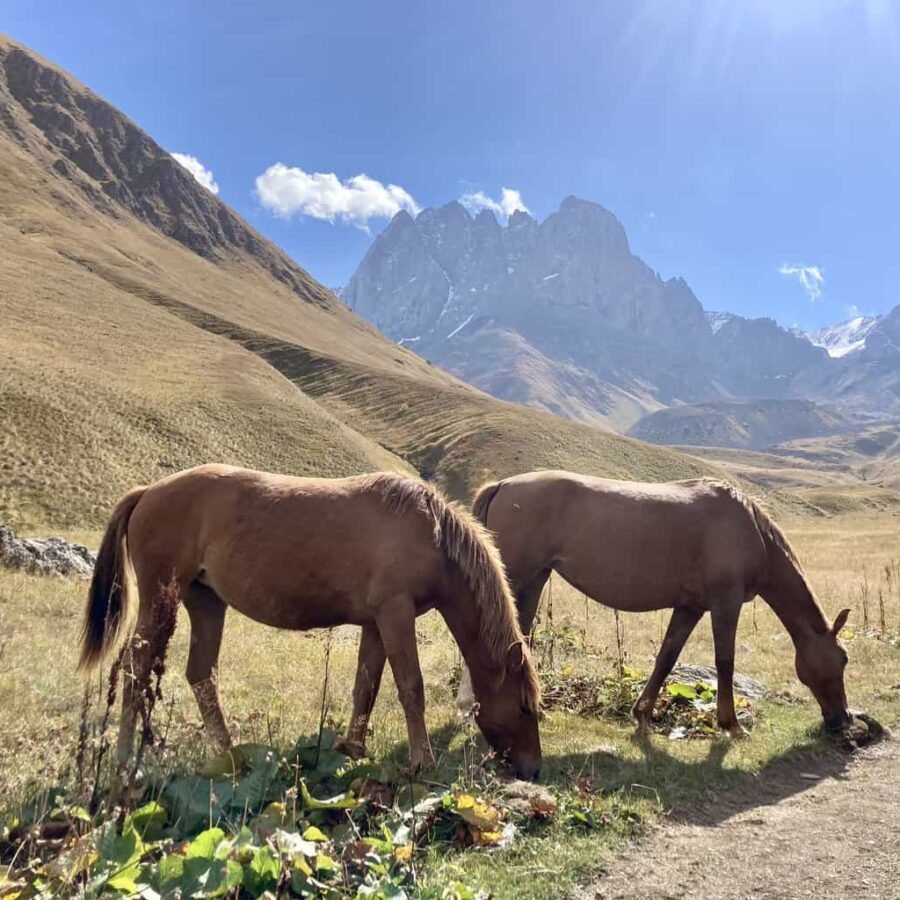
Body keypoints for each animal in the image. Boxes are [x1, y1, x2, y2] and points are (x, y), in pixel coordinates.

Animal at [79, 468, 540, 776]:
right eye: (523, 705)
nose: (534, 769)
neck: (431, 534)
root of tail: (147, 493)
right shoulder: (395, 615)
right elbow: (411, 688)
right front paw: (421, 761)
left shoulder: (376, 623)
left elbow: (366, 687)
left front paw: (353, 748)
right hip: (161, 602)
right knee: (136, 671)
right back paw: (126, 758)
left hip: (206, 603)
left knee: (201, 675)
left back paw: (228, 756)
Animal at [464, 468, 852, 736]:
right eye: (843, 659)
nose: (842, 719)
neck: (749, 528)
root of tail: (503, 485)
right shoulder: (725, 604)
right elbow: (724, 662)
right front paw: (731, 724)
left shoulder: (690, 607)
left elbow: (667, 657)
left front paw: (643, 712)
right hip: (516, 578)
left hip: (533, 581)